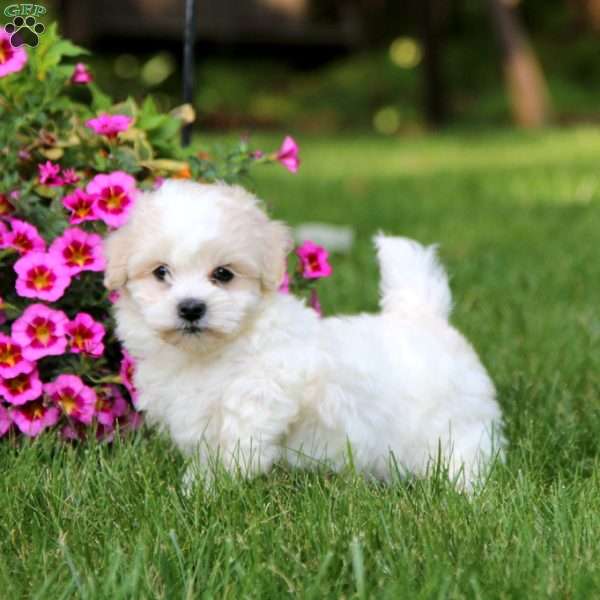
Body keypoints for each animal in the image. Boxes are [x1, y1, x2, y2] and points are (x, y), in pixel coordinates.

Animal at [105, 180, 504, 490]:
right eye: (161, 272)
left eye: (223, 274)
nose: (191, 308)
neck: (210, 351)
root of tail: (424, 315)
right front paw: (201, 485)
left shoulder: (278, 377)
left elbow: (244, 419)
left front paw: (232, 474)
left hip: (455, 419)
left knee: (465, 450)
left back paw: (465, 487)